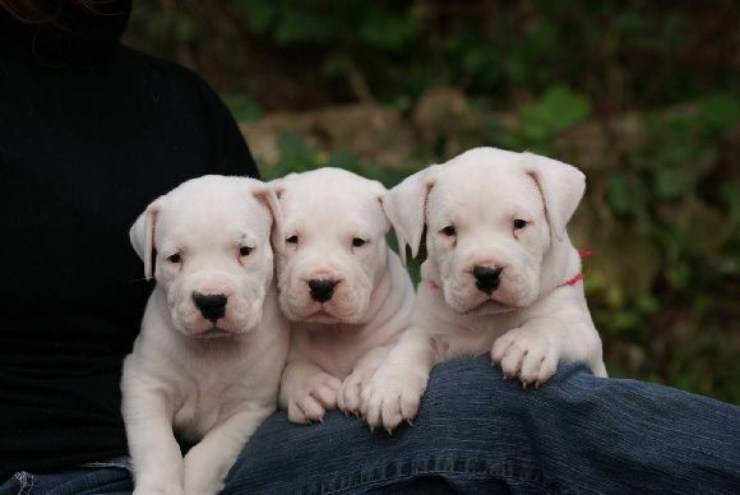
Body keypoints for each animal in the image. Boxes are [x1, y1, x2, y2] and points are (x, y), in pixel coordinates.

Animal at [120, 176, 288, 494]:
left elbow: (208, 455)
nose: (211, 301)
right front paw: (159, 488)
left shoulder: (248, 409)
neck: (213, 349)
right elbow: (158, 445)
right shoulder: (144, 385)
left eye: (245, 250)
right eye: (174, 258)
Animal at [274, 169, 416, 424]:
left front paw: (365, 381)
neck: (336, 331)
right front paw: (309, 386)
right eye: (291, 239)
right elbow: (292, 370)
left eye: (358, 242)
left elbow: (381, 351)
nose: (321, 285)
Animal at [362, 146, 608, 430]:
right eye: (448, 231)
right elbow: (411, 343)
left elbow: (553, 324)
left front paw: (527, 345)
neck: (488, 319)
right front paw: (390, 386)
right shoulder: (430, 327)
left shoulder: (587, 340)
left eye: (519, 223)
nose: (487, 272)